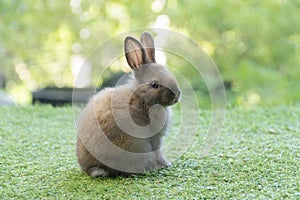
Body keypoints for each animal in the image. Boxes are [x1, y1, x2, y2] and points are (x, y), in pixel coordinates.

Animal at [76, 31, 182, 177]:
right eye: (154, 84)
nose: (177, 96)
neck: (141, 98)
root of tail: (96, 167)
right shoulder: (155, 139)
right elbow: (157, 152)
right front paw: (164, 164)